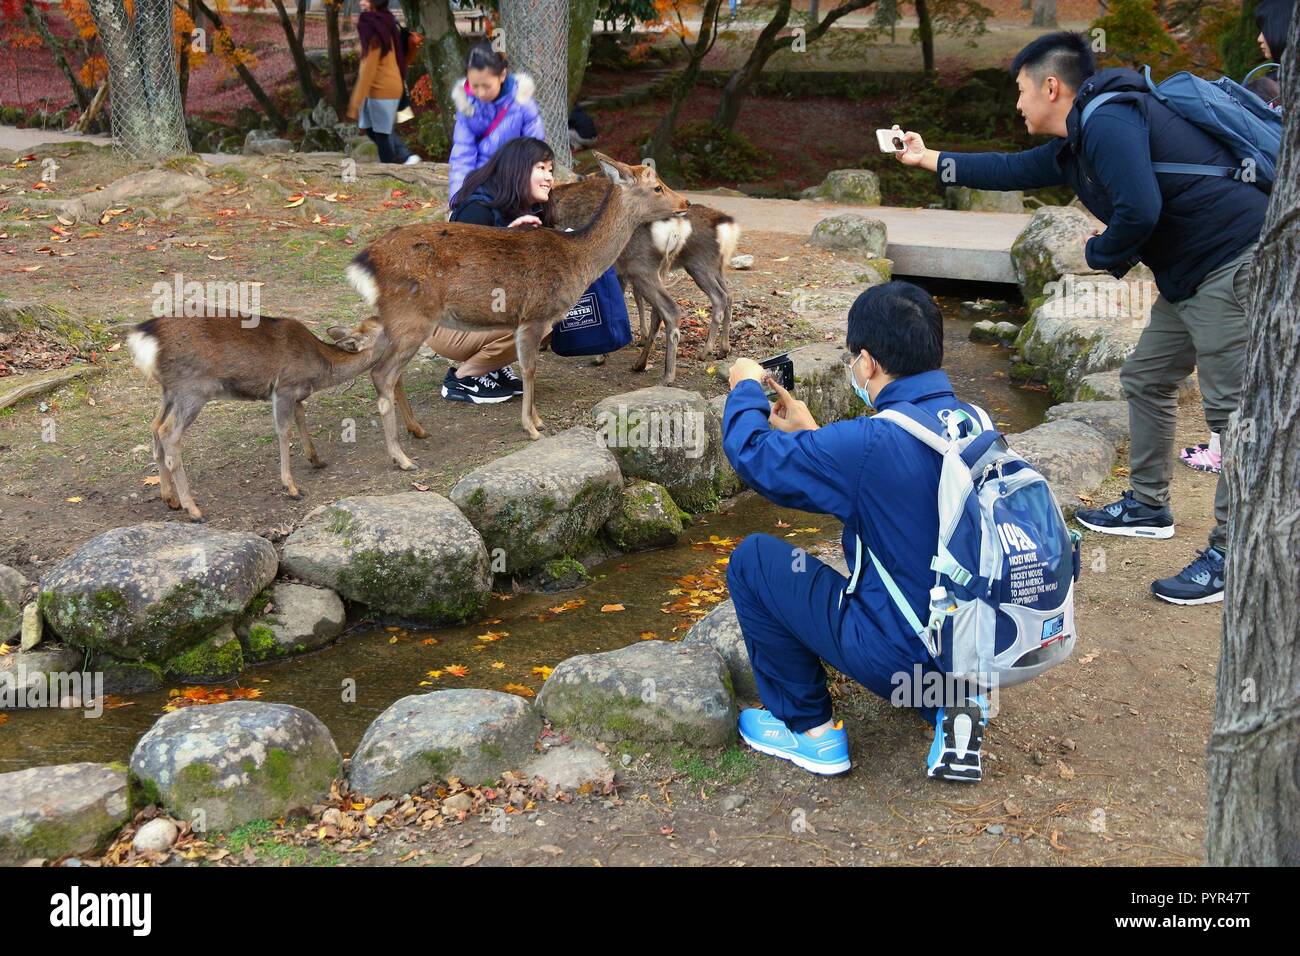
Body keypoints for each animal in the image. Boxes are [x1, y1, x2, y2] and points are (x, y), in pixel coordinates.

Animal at [129, 314, 387, 522]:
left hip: (169, 391)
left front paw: (317, 460)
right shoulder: (284, 387)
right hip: (192, 389)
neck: (319, 372)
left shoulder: (297, 395)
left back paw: (170, 499)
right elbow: (284, 432)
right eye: (383, 328)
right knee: (168, 433)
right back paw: (194, 511)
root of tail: (145, 340)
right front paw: (292, 488)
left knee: (155, 426)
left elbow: (302, 419)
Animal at [345, 151, 691, 465]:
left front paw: (537, 420)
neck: (577, 260)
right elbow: (530, 368)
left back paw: (417, 430)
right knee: (382, 373)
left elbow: (528, 367)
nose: (686, 201)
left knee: (391, 372)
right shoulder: (534, 315)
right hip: (411, 317)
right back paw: (401, 458)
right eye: (657, 186)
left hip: (397, 320)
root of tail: (363, 263)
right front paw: (533, 427)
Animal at [551, 170, 743, 382]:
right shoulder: (623, 273)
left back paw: (698, 355)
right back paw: (721, 349)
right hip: (708, 266)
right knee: (727, 296)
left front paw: (601, 354)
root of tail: (727, 225)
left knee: (715, 298)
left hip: (693, 264)